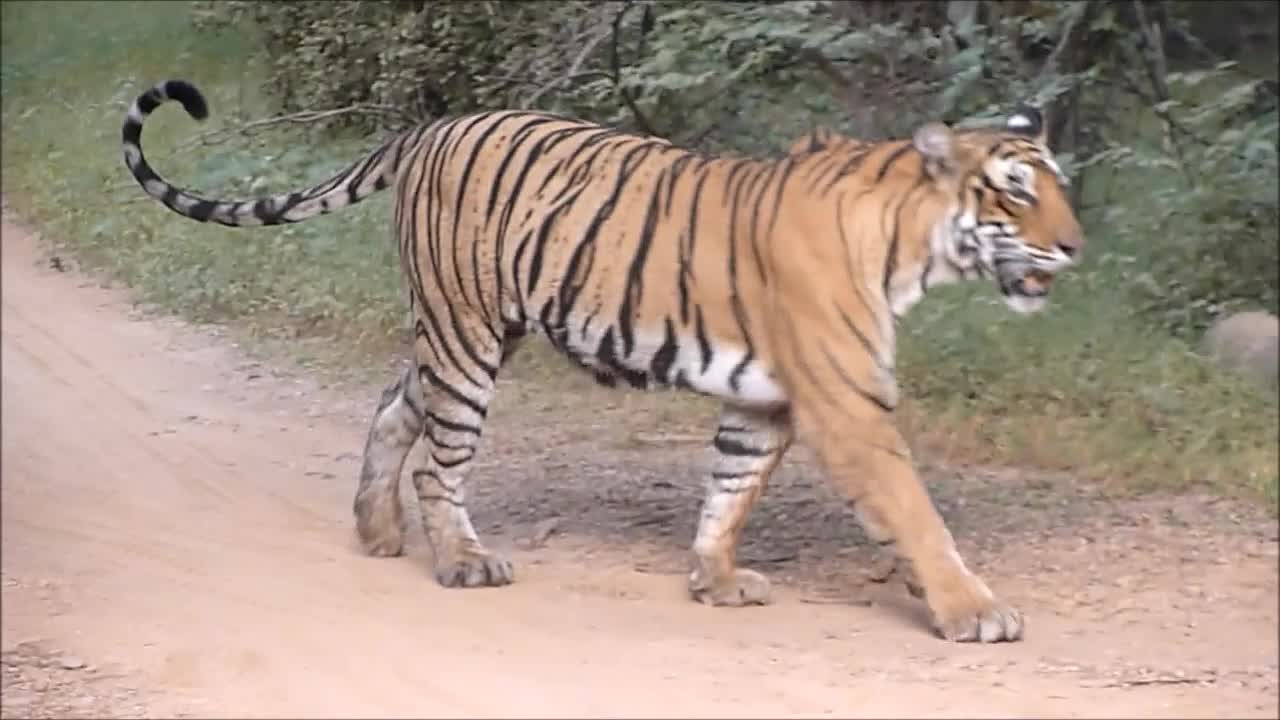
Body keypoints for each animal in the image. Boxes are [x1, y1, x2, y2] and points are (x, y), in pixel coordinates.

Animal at [120, 78, 1085, 638]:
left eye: (1061, 187)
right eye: (1015, 192)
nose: (1076, 246)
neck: (914, 248)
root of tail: (428, 129)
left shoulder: (764, 400)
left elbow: (729, 492)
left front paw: (714, 582)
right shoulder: (848, 406)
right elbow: (917, 515)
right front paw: (976, 612)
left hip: (468, 326)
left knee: (397, 406)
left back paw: (378, 530)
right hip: (467, 335)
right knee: (441, 458)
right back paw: (462, 561)